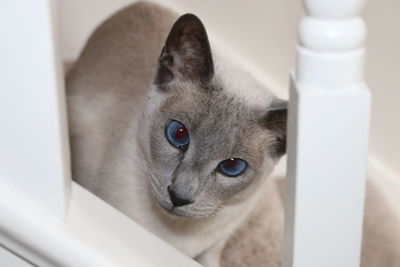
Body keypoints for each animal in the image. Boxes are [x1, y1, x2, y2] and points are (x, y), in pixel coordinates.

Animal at [68, 1, 288, 266]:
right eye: (178, 135)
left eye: (232, 166)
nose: (179, 197)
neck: (169, 239)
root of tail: (139, 5)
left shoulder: (213, 248)